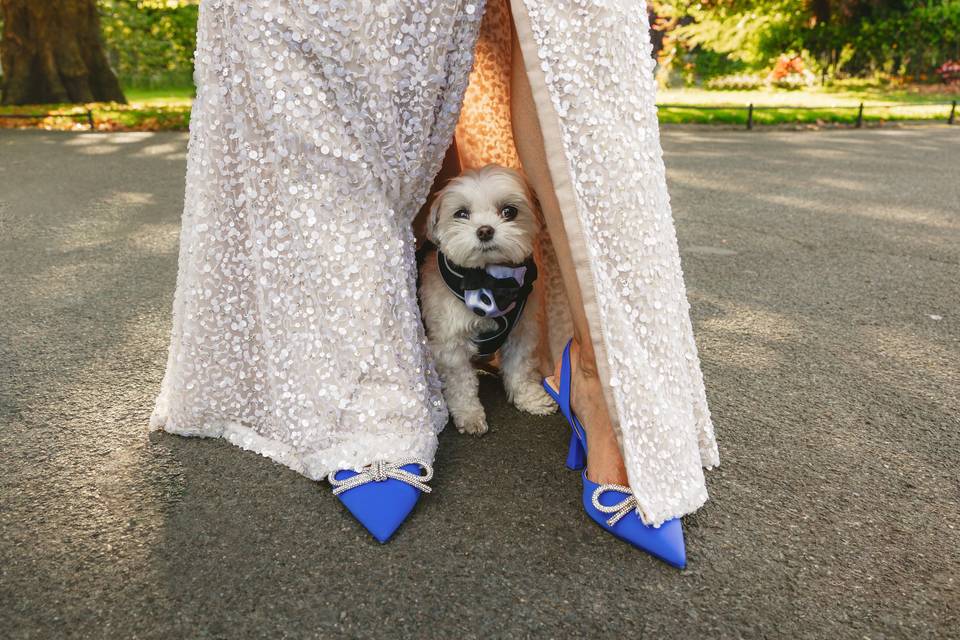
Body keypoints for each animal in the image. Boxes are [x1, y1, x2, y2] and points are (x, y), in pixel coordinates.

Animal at [418, 165, 556, 436]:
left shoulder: (521, 331)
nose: (484, 230)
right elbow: (461, 384)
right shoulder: (450, 346)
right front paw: (469, 415)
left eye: (509, 211)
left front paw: (530, 399)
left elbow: (520, 368)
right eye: (461, 213)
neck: (490, 279)